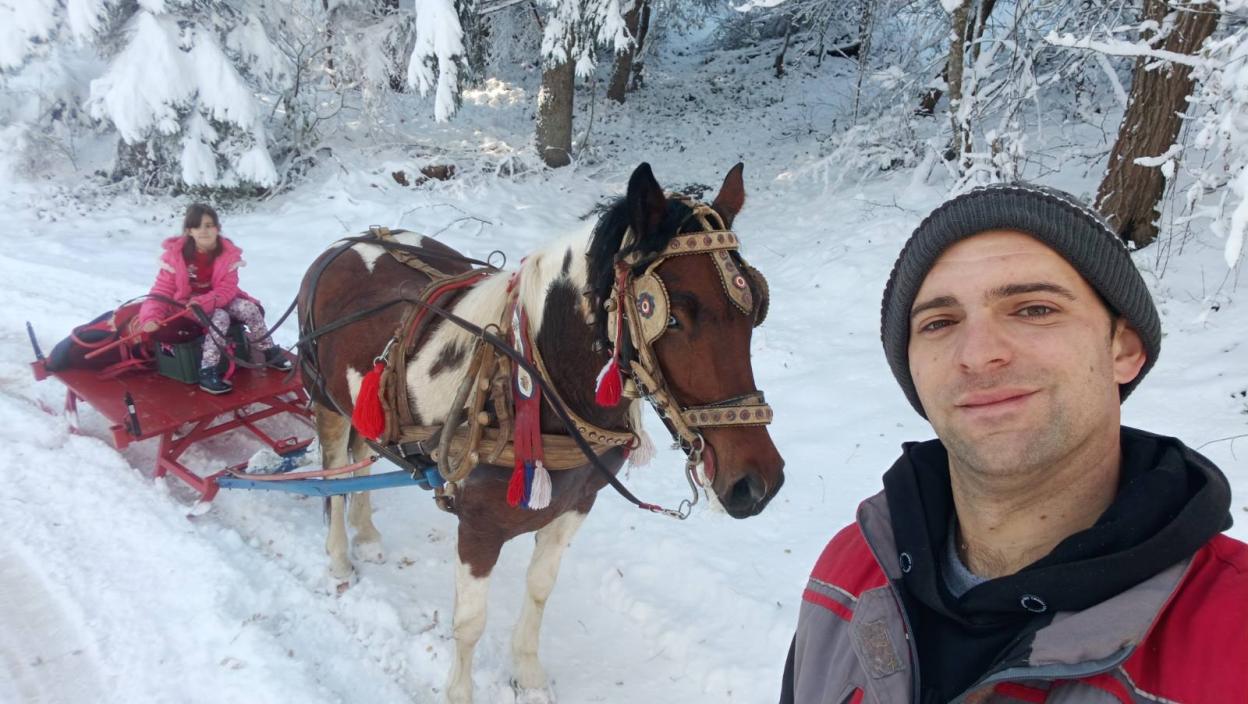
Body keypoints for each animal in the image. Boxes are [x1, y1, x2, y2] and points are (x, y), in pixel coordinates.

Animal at [295, 162, 785, 703]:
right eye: (671, 317)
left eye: (753, 311)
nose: (758, 484)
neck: (534, 380)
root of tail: (350, 243)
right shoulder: (478, 527)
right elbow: (470, 622)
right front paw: (460, 693)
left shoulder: (575, 505)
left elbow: (539, 588)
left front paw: (527, 676)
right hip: (325, 399)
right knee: (337, 476)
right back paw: (340, 556)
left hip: (362, 406)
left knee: (364, 456)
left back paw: (367, 534)